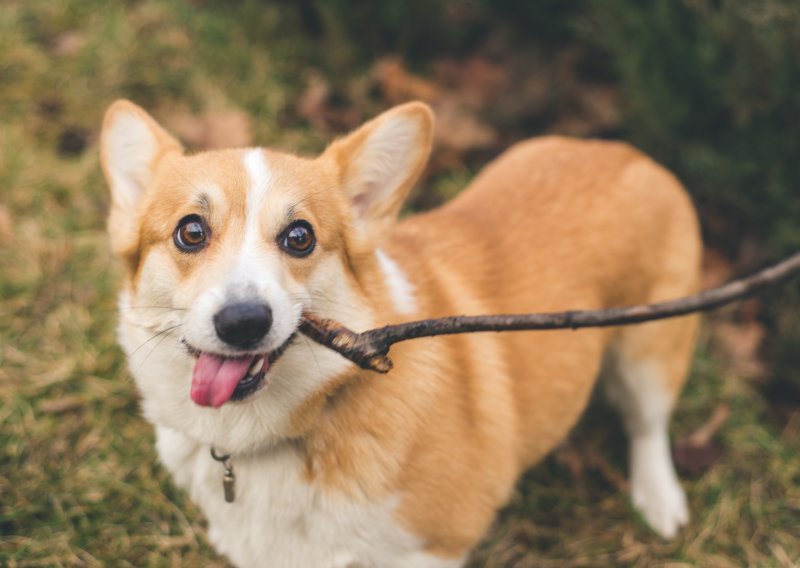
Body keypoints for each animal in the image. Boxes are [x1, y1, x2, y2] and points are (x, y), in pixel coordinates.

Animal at [100, 100, 700, 564]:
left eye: (300, 237)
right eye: (191, 232)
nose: (244, 321)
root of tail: (627, 152)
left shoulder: (435, 547)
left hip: (649, 347)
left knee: (648, 424)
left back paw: (659, 500)